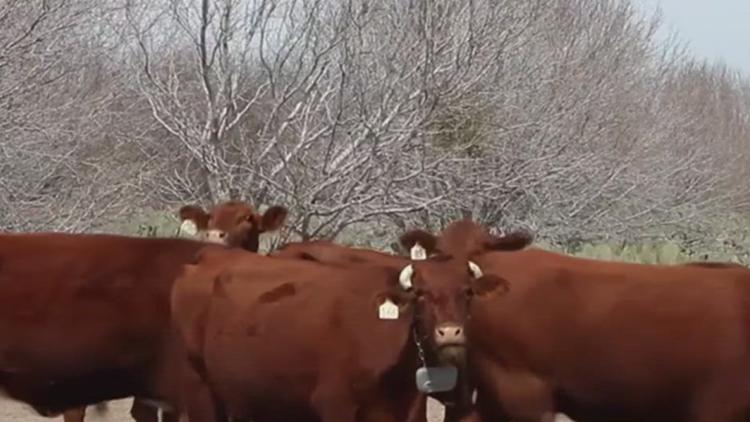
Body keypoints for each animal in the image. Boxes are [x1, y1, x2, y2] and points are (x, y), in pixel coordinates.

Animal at [170, 240, 508, 422]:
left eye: (467, 292)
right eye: (420, 294)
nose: (449, 333)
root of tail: (212, 257)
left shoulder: (410, 411)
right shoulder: (336, 406)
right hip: (200, 389)